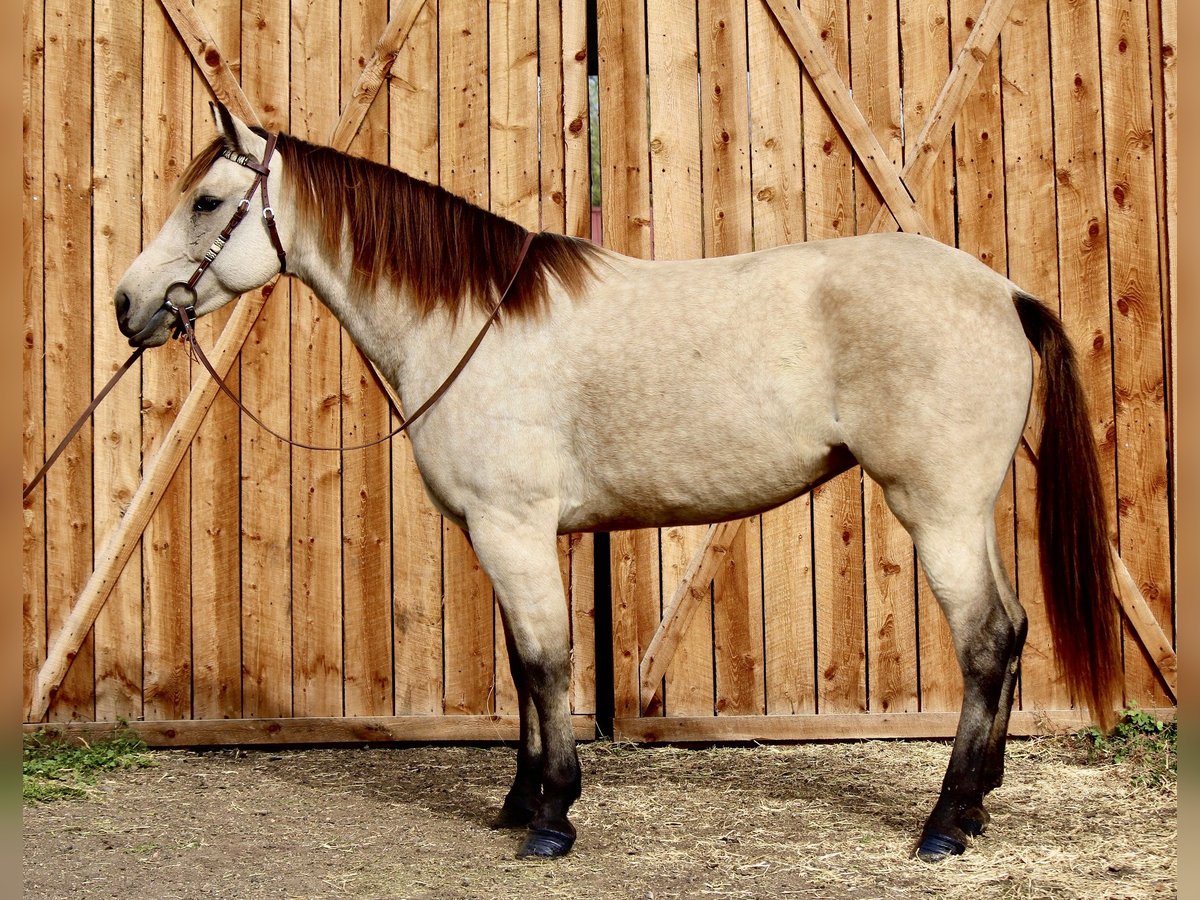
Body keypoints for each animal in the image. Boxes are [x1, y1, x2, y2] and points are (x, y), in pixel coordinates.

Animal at [113, 103, 1123, 862]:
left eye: (207, 201)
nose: (127, 305)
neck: (470, 323)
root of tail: (1004, 294)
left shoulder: (514, 529)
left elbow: (544, 663)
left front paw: (553, 817)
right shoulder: (497, 535)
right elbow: (523, 669)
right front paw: (519, 802)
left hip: (937, 509)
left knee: (986, 640)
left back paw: (946, 823)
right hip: (967, 511)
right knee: (1011, 630)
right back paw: (977, 803)